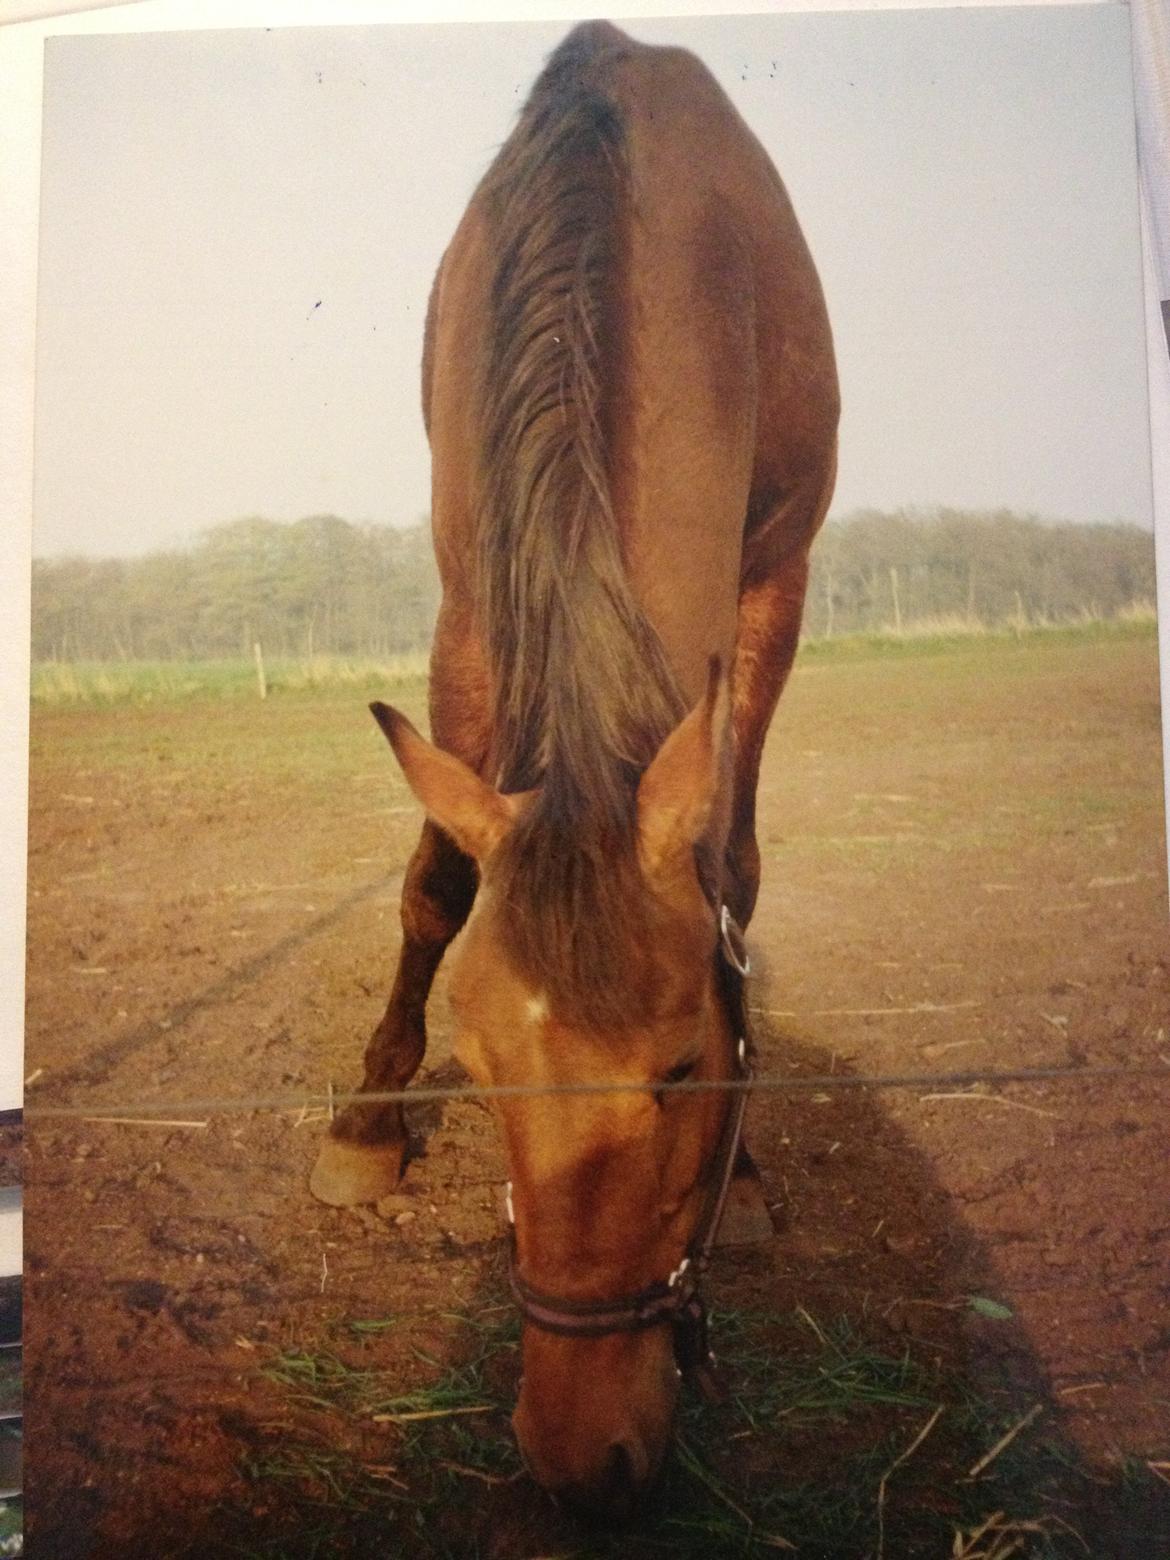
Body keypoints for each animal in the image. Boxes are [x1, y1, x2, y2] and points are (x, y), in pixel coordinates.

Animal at [313, 18, 842, 1516]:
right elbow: (440, 878)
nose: (578, 1455)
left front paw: (754, 1168)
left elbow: (740, 871)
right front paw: (370, 1122)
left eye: (684, 1069)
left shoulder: (773, 579)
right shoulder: (468, 594)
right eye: (482, 1073)